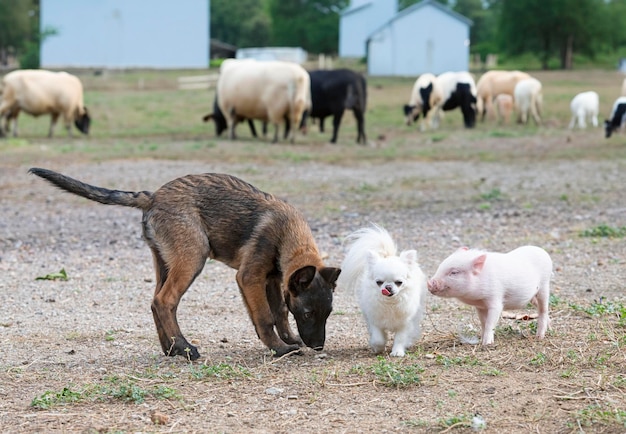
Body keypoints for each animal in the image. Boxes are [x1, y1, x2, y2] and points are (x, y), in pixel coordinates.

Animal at [29, 168, 338, 362]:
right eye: (308, 313)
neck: (287, 233)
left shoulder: (273, 279)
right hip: (192, 258)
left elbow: (280, 313)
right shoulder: (249, 277)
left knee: (156, 301)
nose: (318, 345)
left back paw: (171, 348)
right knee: (165, 301)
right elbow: (264, 317)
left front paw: (289, 340)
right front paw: (278, 349)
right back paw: (185, 348)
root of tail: (153, 196)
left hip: (166, 262)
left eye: (329, 313)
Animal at [338, 224, 426, 356]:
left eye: (399, 282)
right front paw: (378, 348)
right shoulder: (375, 320)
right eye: (379, 282)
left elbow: (400, 338)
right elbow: (378, 338)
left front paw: (397, 351)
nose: (388, 287)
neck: (390, 303)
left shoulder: (405, 323)